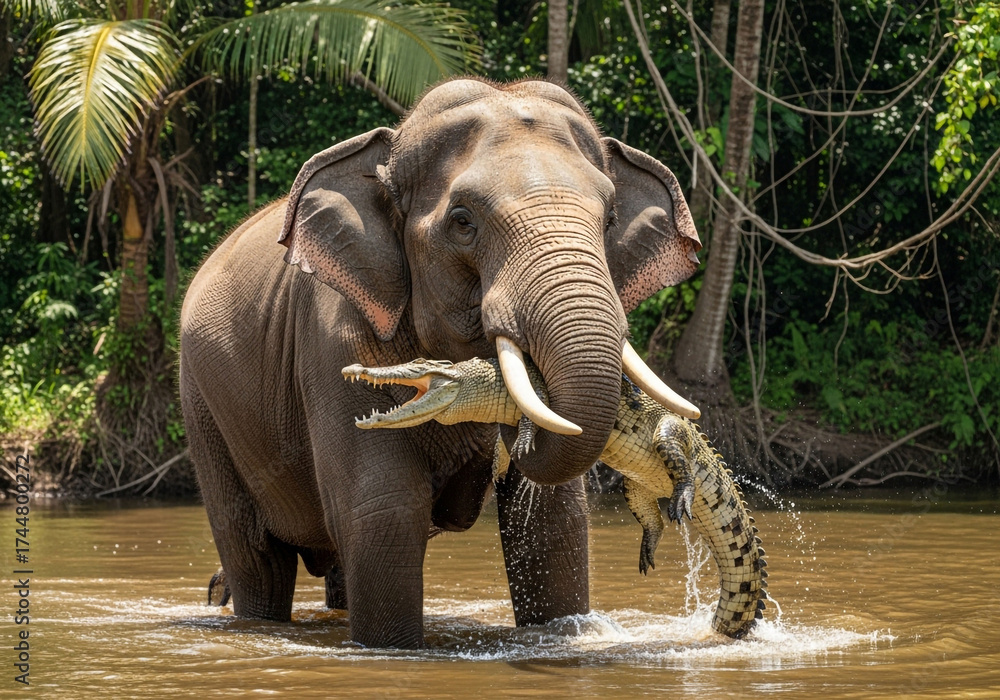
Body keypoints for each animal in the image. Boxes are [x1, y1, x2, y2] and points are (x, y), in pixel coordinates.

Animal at [179, 77, 702, 648]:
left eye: (608, 219)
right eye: (462, 222)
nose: (513, 438)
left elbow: (552, 523)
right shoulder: (330, 342)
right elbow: (384, 513)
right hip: (203, 404)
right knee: (258, 558)